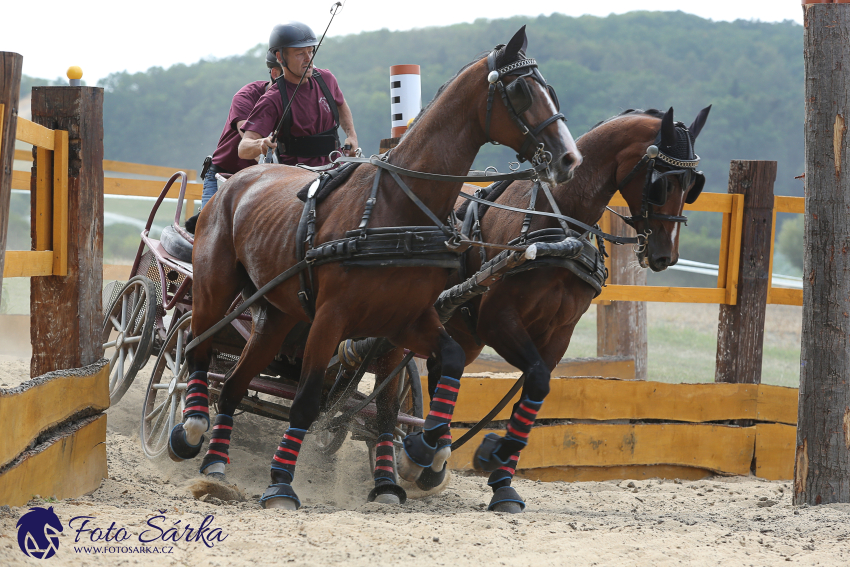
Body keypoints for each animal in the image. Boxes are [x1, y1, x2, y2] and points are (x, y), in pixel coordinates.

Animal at [172, 26, 584, 510]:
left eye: (551, 88)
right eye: (521, 90)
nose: (569, 159)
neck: (397, 206)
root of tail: (234, 182)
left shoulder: (404, 321)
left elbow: (414, 389)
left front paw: (415, 457)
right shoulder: (331, 318)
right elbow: (306, 400)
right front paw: (280, 485)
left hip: (276, 314)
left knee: (236, 384)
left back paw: (216, 465)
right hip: (214, 290)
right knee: (197, 349)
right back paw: (189, 428)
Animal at [422, 104, 708, 512]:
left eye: (692, 185)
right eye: (661, 185)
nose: (664, 255)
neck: (558, 227)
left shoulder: (559, 333)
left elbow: (536, 388)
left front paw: (502, 478)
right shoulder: (498, 321)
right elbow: (537, 378)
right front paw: (493, 455)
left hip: (465, 333)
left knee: (440, 369)